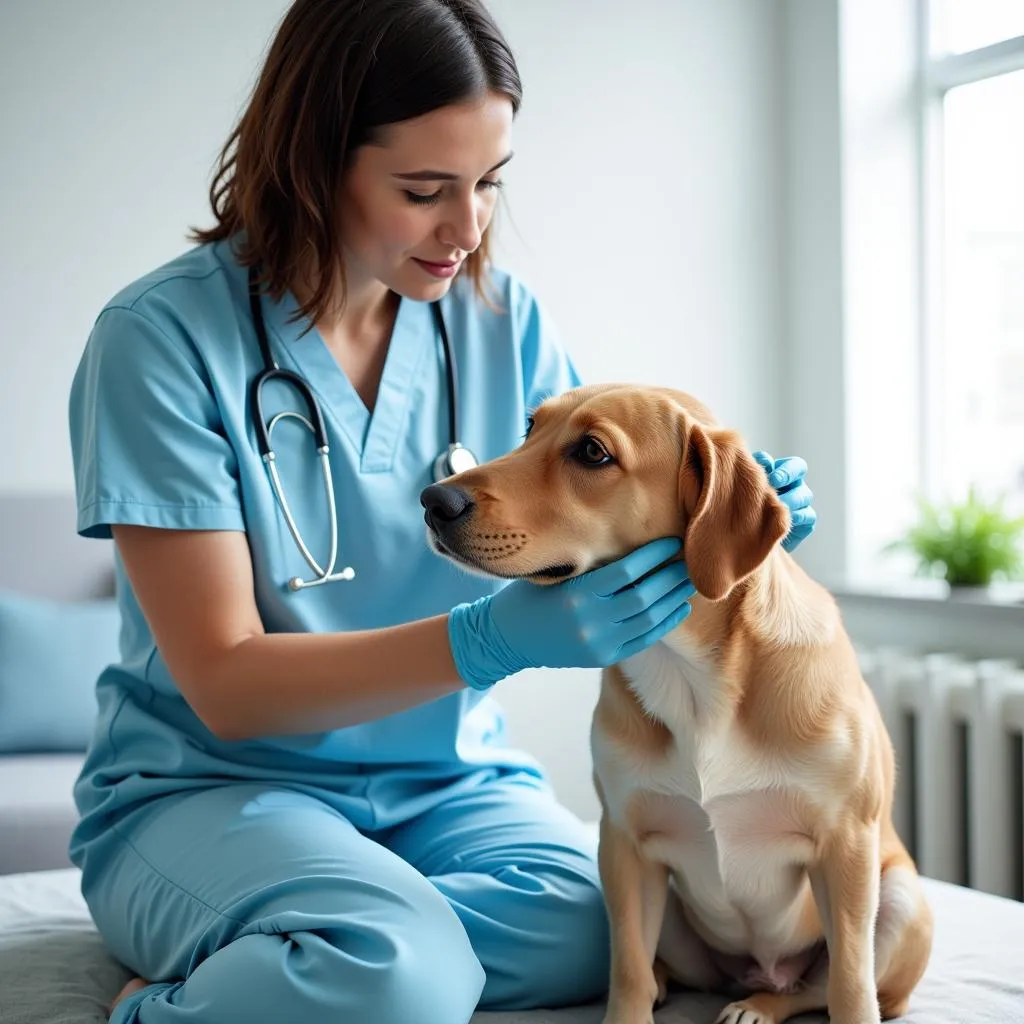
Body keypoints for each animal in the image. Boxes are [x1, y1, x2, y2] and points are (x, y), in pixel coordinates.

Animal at [419, 382, 933, 1024]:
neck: (692, 675)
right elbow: (628, 973)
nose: (433, 500)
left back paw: (759, 1004)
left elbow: (848, 987)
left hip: (899, 898)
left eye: (592, 452)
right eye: (530, 427)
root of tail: (757, 971)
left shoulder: (846, 847)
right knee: (670, 969)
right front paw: (633, 1002)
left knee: (816, 986)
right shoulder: (624, 845)